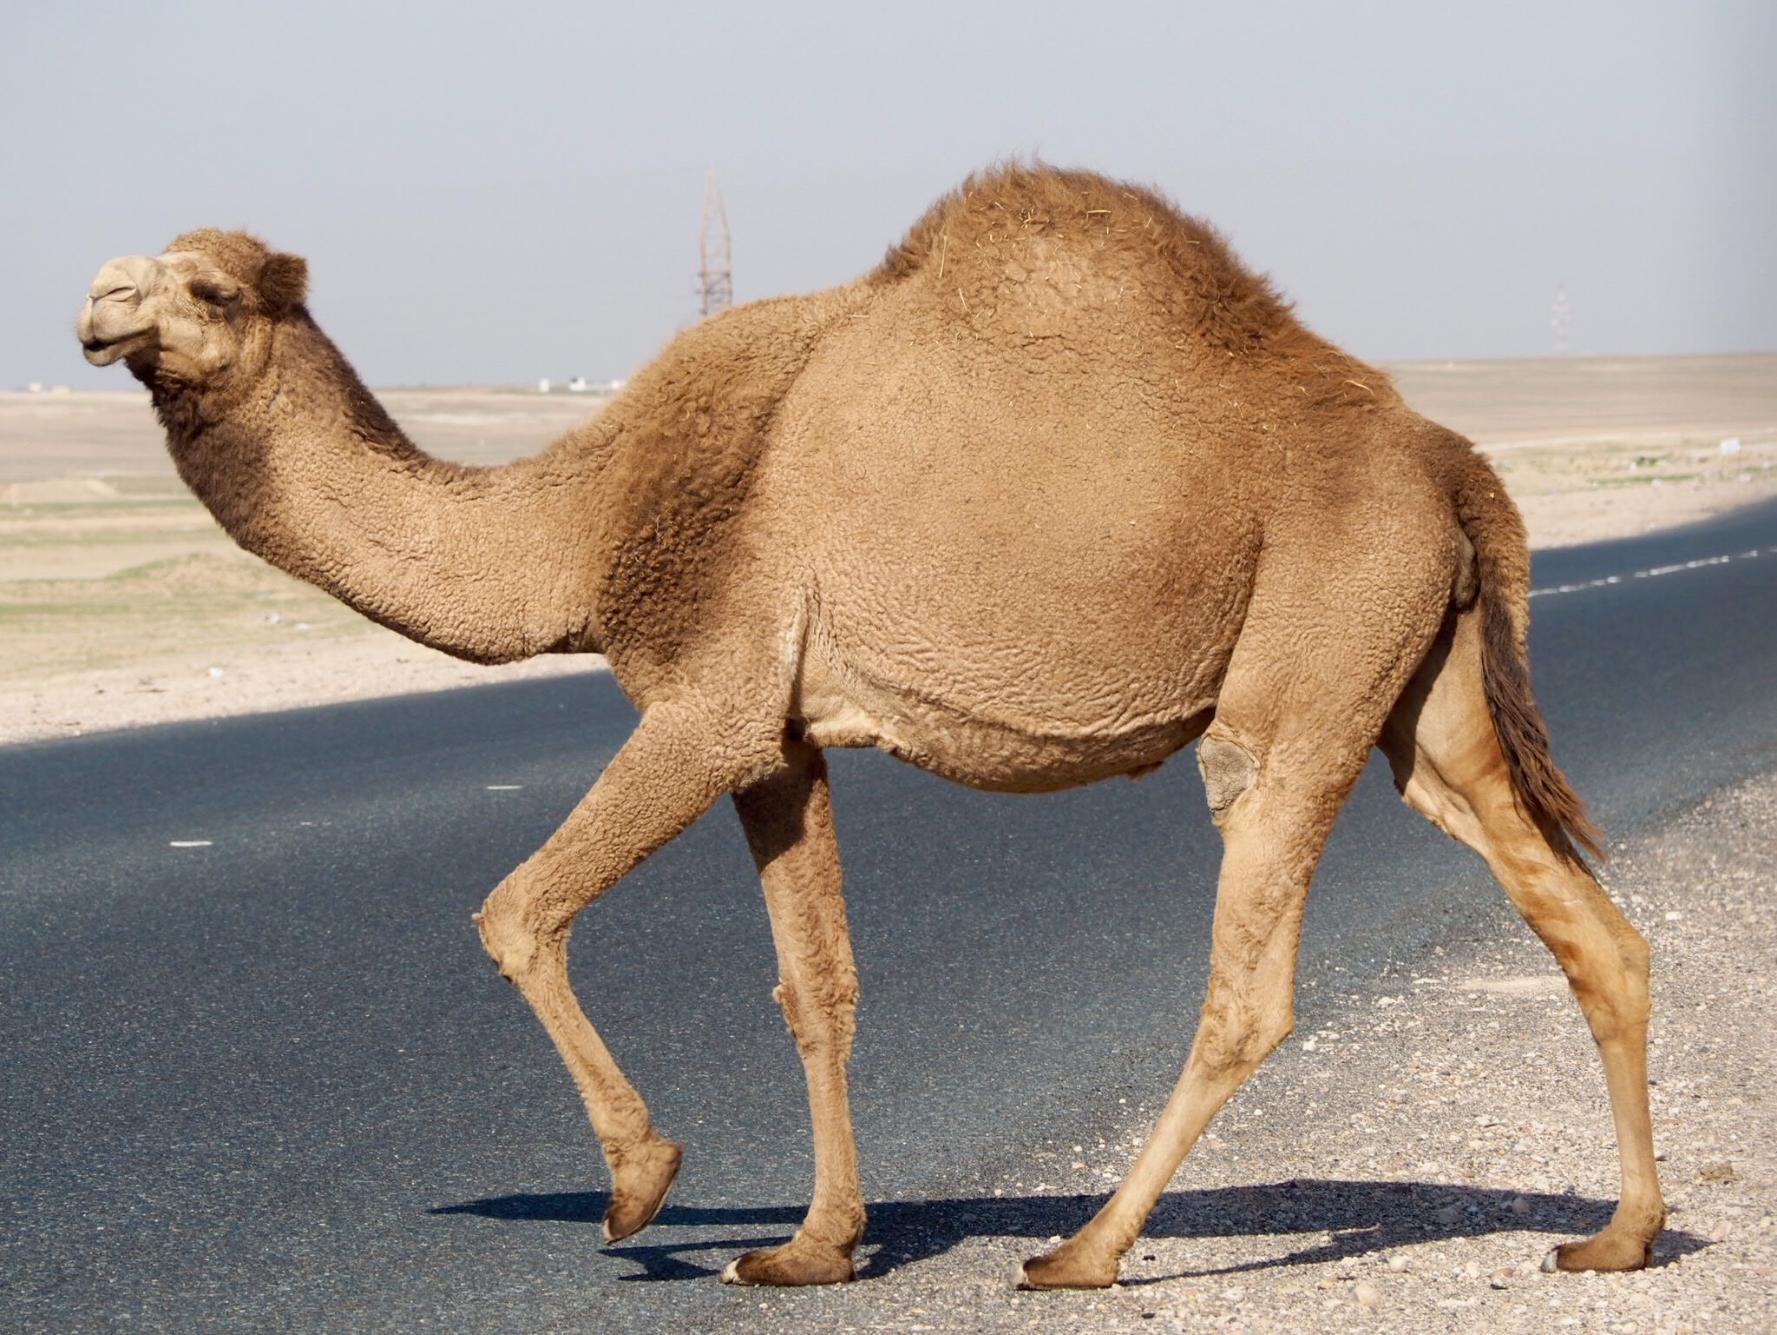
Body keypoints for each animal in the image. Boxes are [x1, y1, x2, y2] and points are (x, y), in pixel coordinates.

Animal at [79, 161, 1663, 1287]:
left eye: (208, 286)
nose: (95, 303)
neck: (589, 520)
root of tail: (1455, 463)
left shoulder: (706, 699)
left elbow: (516, 908)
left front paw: (640, 1182)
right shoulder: (779, 739)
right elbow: (816, 986)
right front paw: (810, 1245)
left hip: (1312, 650)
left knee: (1251, 974)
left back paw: (1083, 1251)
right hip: (1419, 686)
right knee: (1584, 918)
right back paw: (1618, 1233)